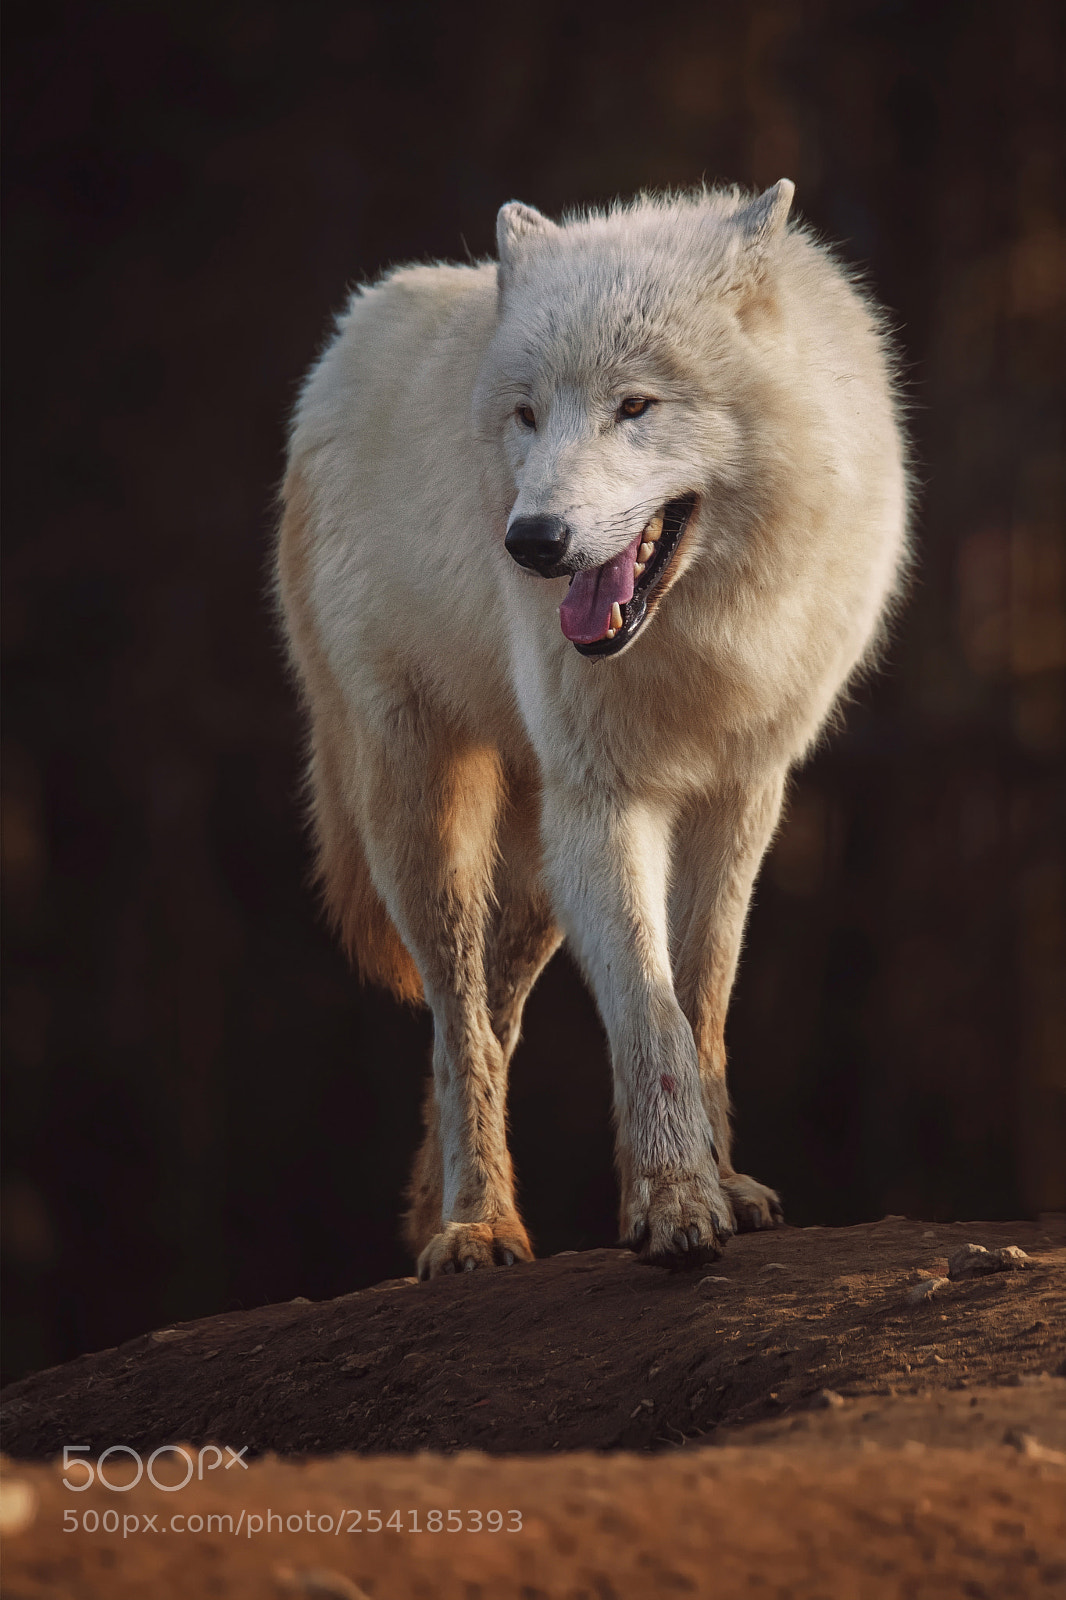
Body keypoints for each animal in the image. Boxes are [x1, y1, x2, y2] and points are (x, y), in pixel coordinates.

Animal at [276, 181, 908, 1278]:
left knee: (493, 1015)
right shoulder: (608, 799)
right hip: (430, 816)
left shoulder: (742, 793)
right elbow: (650, 1017)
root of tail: (349, 332)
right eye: (527, 414)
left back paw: (436, 1206)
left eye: (636, 405)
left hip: (538, 867)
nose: (531, 542)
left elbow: (698, 999)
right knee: (457, 1020)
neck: (698, 630)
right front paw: (675, 1204)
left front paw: (718, 1185)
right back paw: (475, 1222)